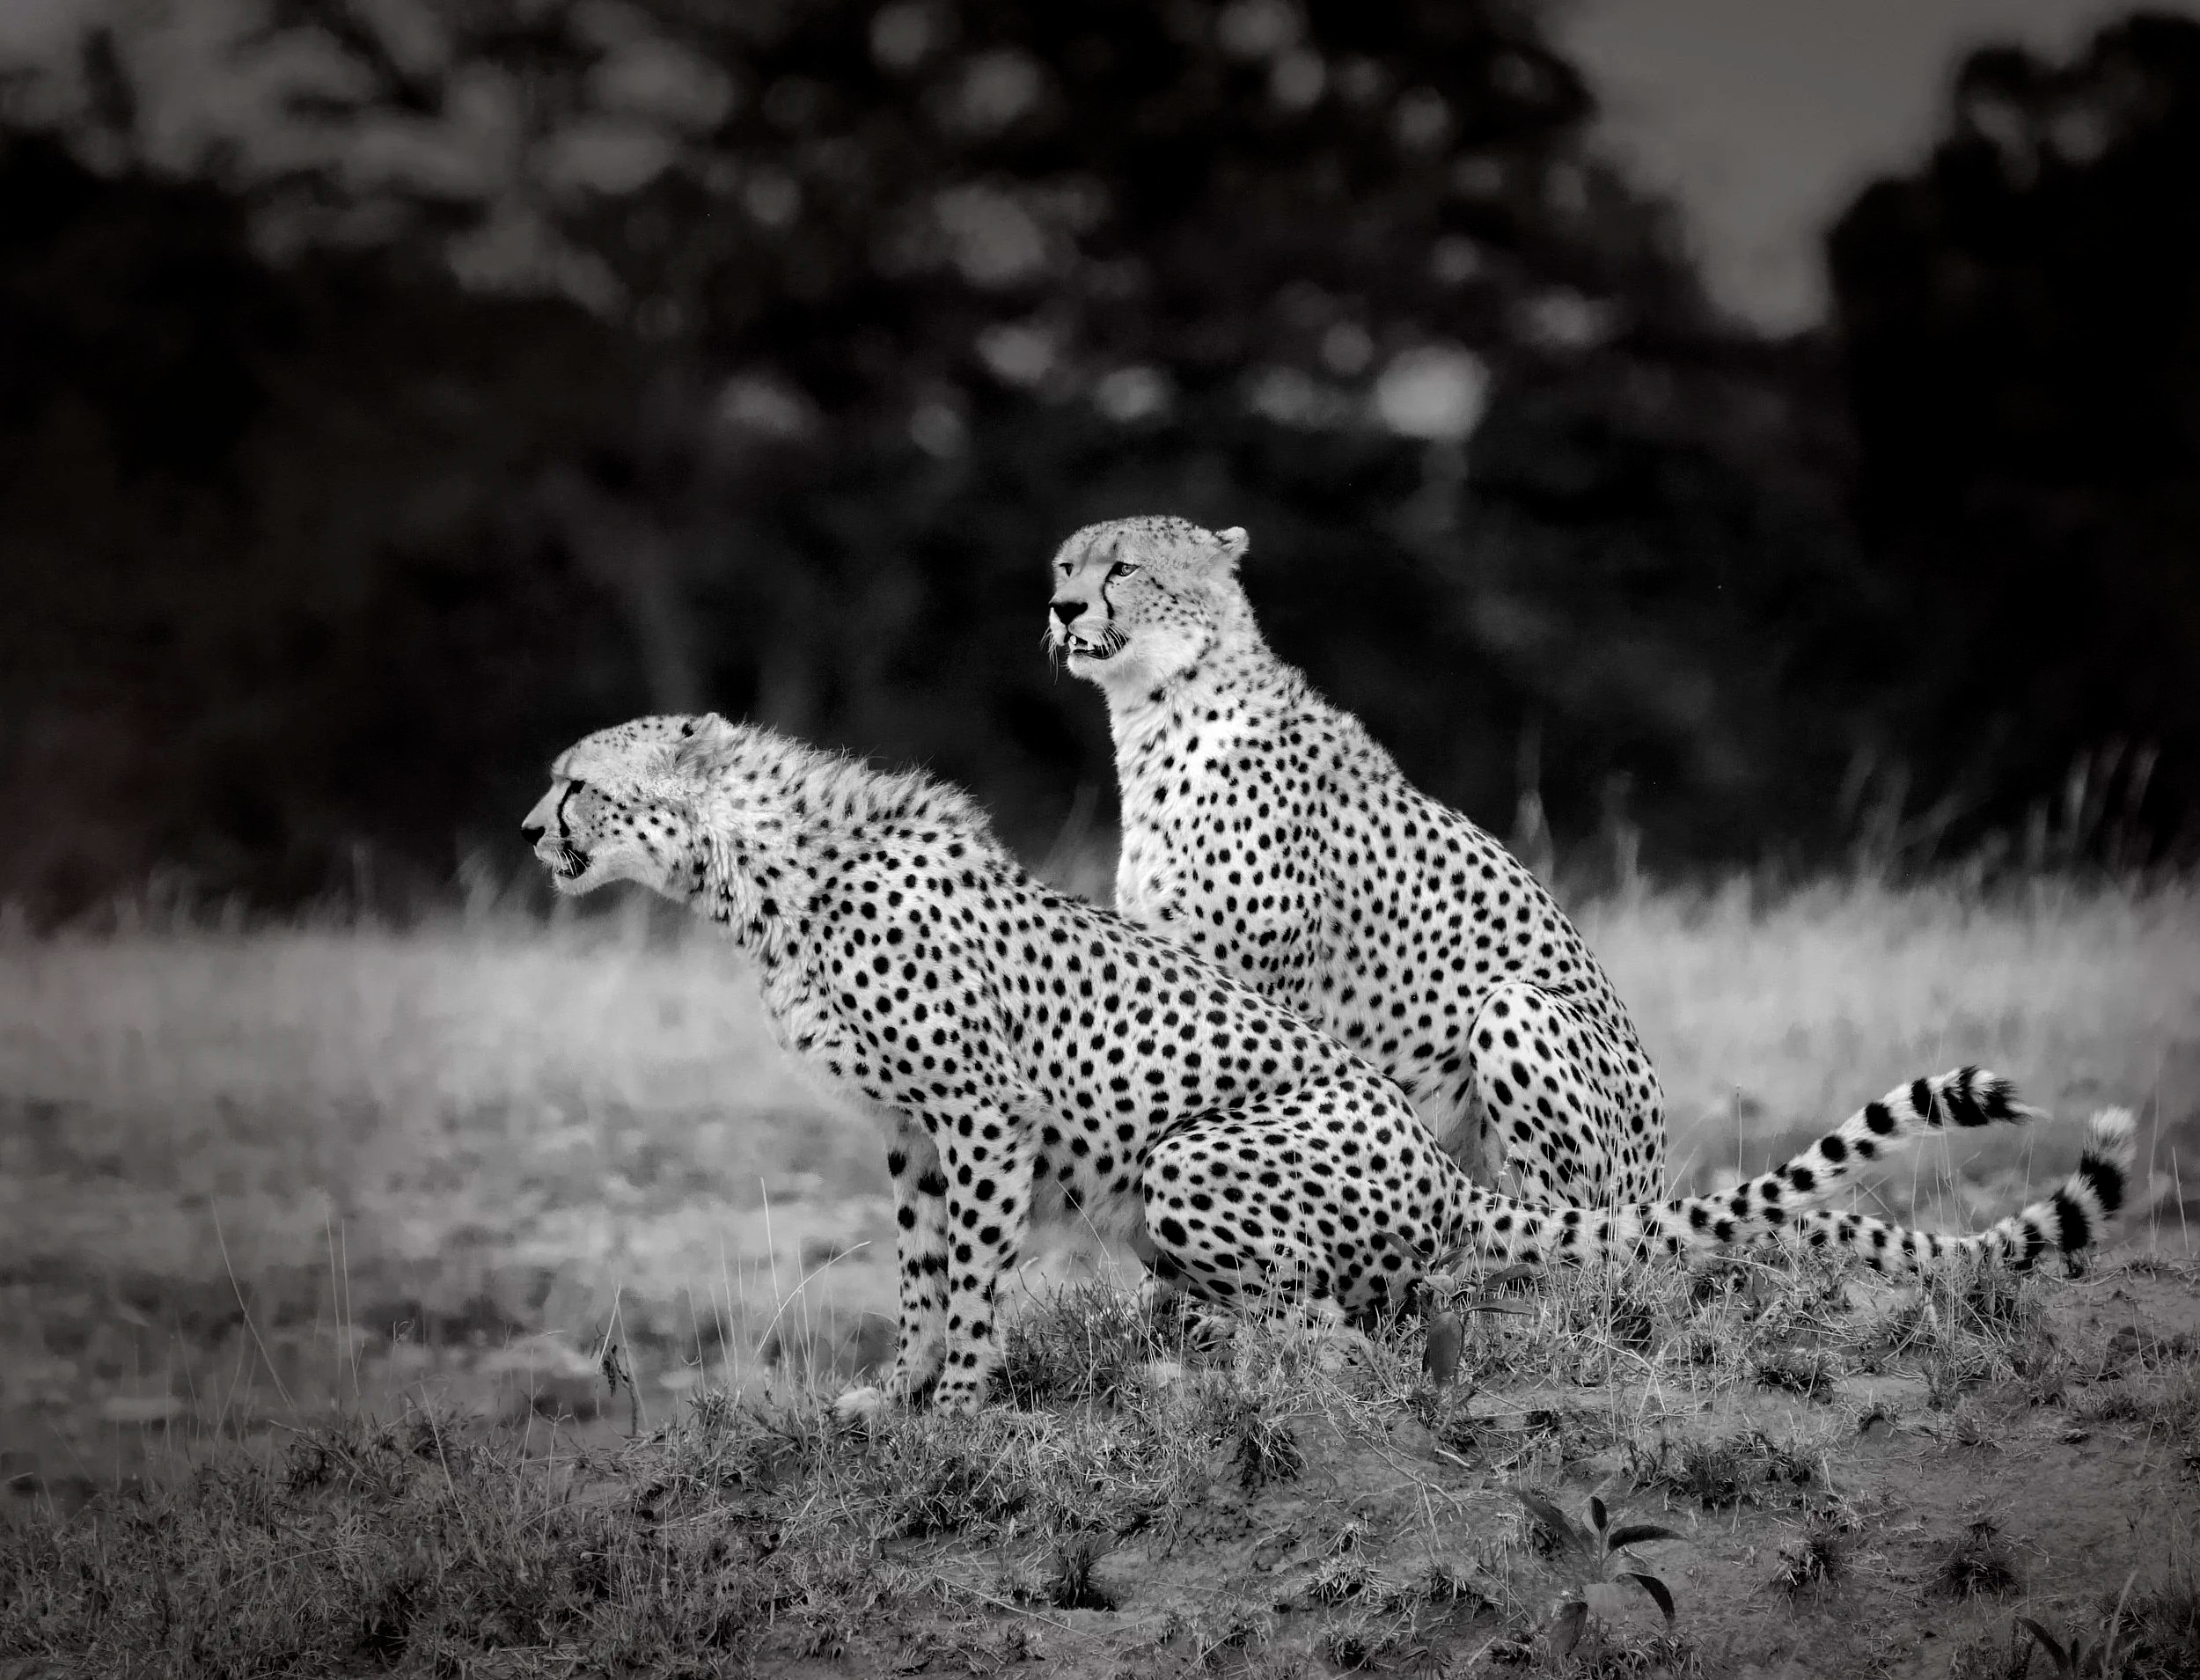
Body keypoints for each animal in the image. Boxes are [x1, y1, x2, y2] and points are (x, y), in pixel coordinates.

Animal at [521, 712, 2134, 1413]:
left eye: (579, 781)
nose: (532, 828)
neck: (759, 871)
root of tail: (1437, 1172)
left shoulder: (978, 1114)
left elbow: (971, 1271)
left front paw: (965, 1403)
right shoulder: (913, 1131)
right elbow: (920, 1270)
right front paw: (897, 1393)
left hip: (1199, 1158)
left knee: (1354, 1326)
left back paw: (1212, 1359)